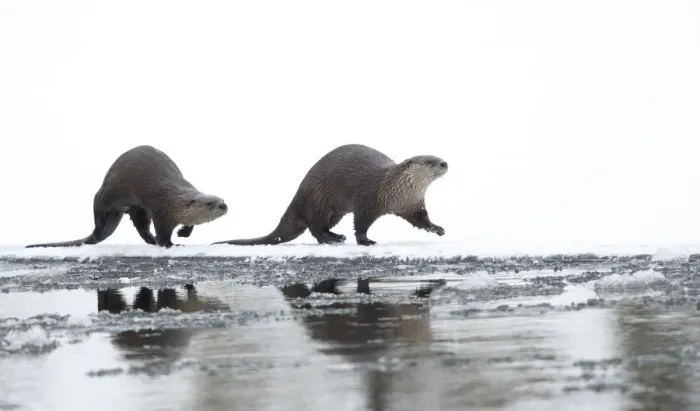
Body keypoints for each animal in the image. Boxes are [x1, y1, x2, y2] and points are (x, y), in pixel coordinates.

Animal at [26, 145, 228, 248]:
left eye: (222, 199)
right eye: (210, 203)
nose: (224, 206)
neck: (173, 200)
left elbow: (189, 225)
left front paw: (183, 233)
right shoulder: (161, 211)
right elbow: (163, 232)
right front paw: (171, 244)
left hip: (135, 208)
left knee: (141, 226)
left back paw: (150, 240)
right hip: (109, 192)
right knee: (96, 206)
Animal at [212, 144, 447, 246]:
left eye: (438, 157)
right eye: (429, 161)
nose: (445, 163)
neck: (393, 190)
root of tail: (298, 195)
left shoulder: (411, 205)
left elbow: (421, 220)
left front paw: (438, 229)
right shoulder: (367, 201)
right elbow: (361, 223)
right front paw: (365, 241)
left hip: (334, 212)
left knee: (319, 227)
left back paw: (335, 235)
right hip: (318, 202)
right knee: (315, 228)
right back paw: (333, 239)